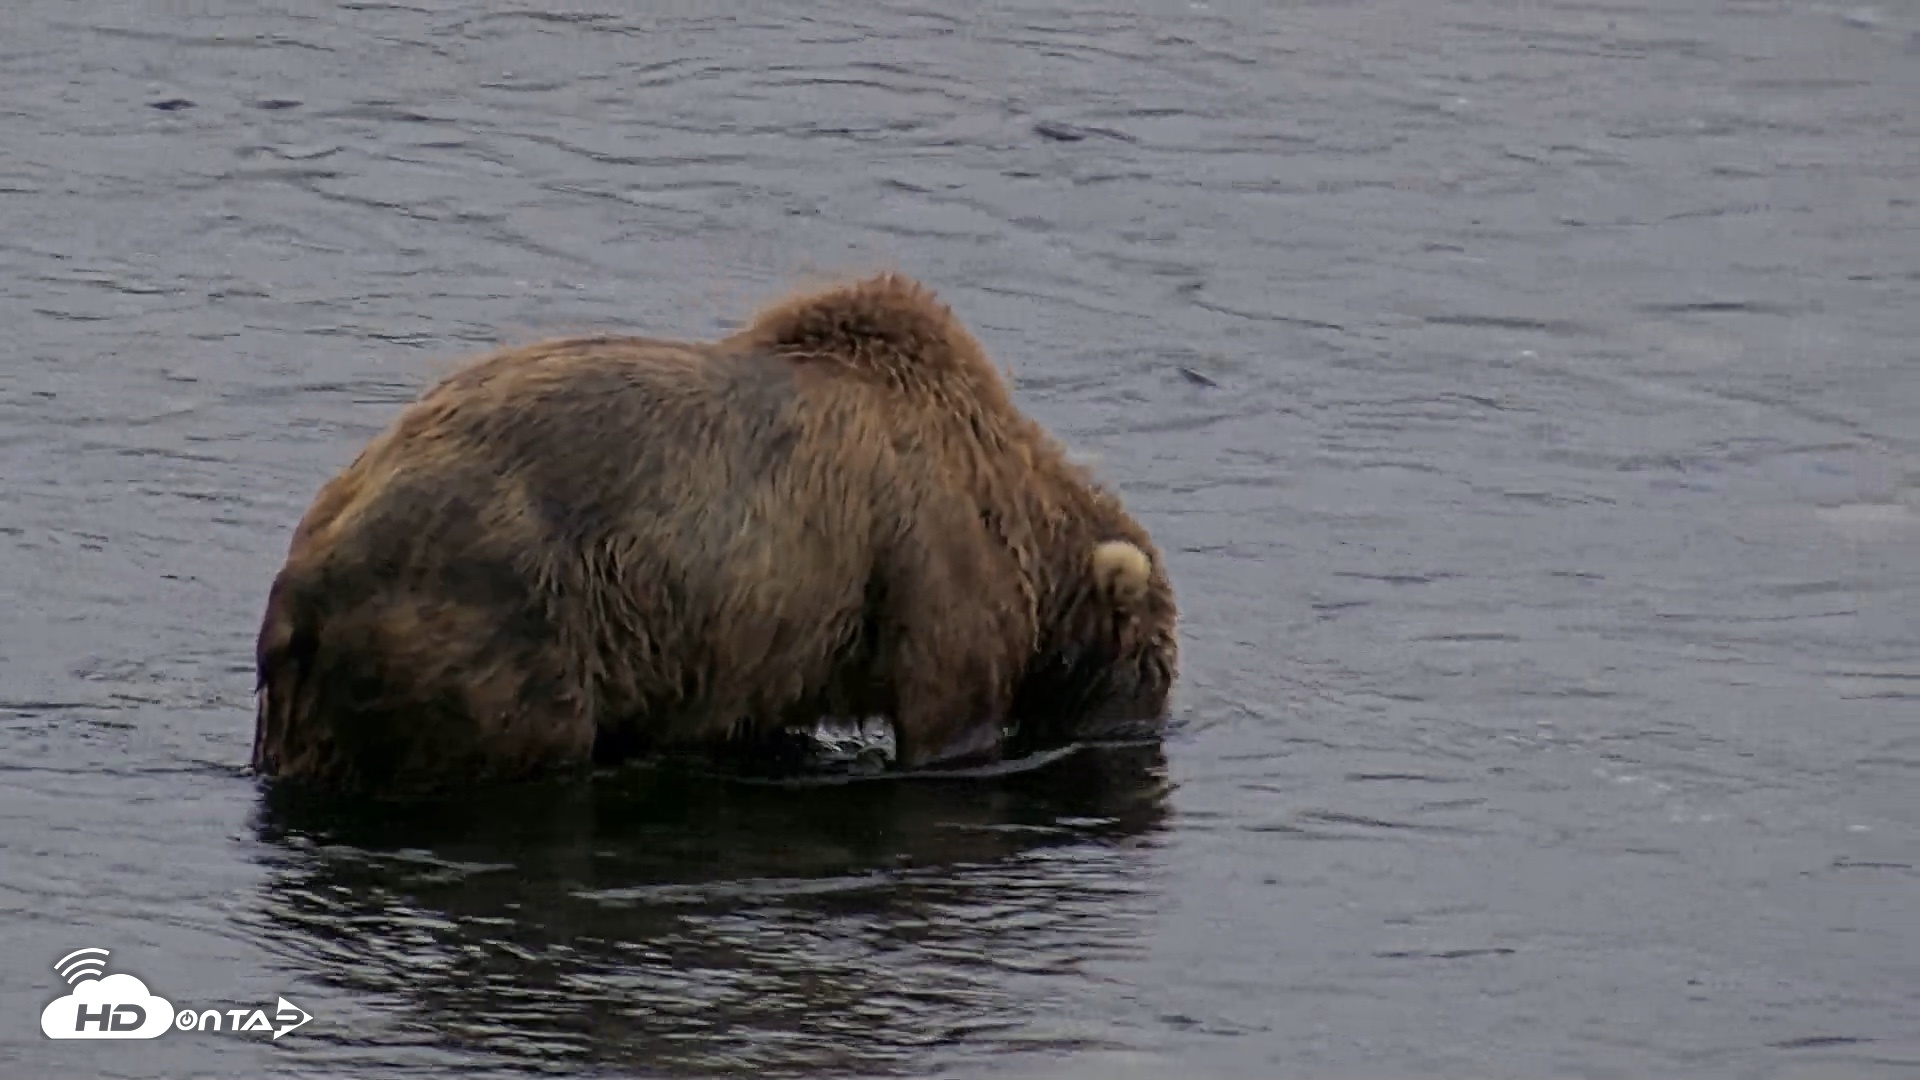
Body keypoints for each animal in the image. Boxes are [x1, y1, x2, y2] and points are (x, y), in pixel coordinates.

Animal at [250, 272, 1178, 795]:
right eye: (1154, 662)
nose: (1146, 731)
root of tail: (302, 580)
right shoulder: (934, 565)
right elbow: (948, 713)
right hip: (498, 619)